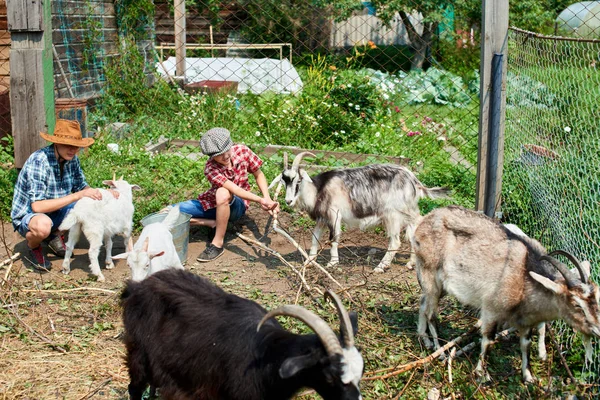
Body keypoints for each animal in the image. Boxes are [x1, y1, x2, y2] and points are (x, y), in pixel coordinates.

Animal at [120, 268, 364, 400]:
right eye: (330, 375)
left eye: (360, 371)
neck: (269, 355)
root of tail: (136, 287)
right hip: (138, 353)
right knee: (134, 388)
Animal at [270, 152, 448, 272]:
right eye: (283, 181)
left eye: (298, 180)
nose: (288, 201)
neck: (319, 190)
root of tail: (414, 181)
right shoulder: (322, 218)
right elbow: (315, 238)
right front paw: (309, 261)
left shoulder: (334, 215)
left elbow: (333, 239)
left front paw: (332, 263)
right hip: (408, 211)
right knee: (412, 233)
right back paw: (410, 264)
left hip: (392, 214)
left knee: (395, 241)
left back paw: (381, 267)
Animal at [412, 206, 600, 384]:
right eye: (576, 303)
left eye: (597, 297)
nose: (597, 330)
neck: (524, 277)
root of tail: (423, 221)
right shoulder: (492, 309)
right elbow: (488, 339)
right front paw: (482, 374)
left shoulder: (527, 321)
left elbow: (525, 344)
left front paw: (529, 377)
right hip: (429, 273)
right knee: (431, 314)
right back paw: (440, 351)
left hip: (440, 285)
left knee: (423, 302)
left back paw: (425, 340)